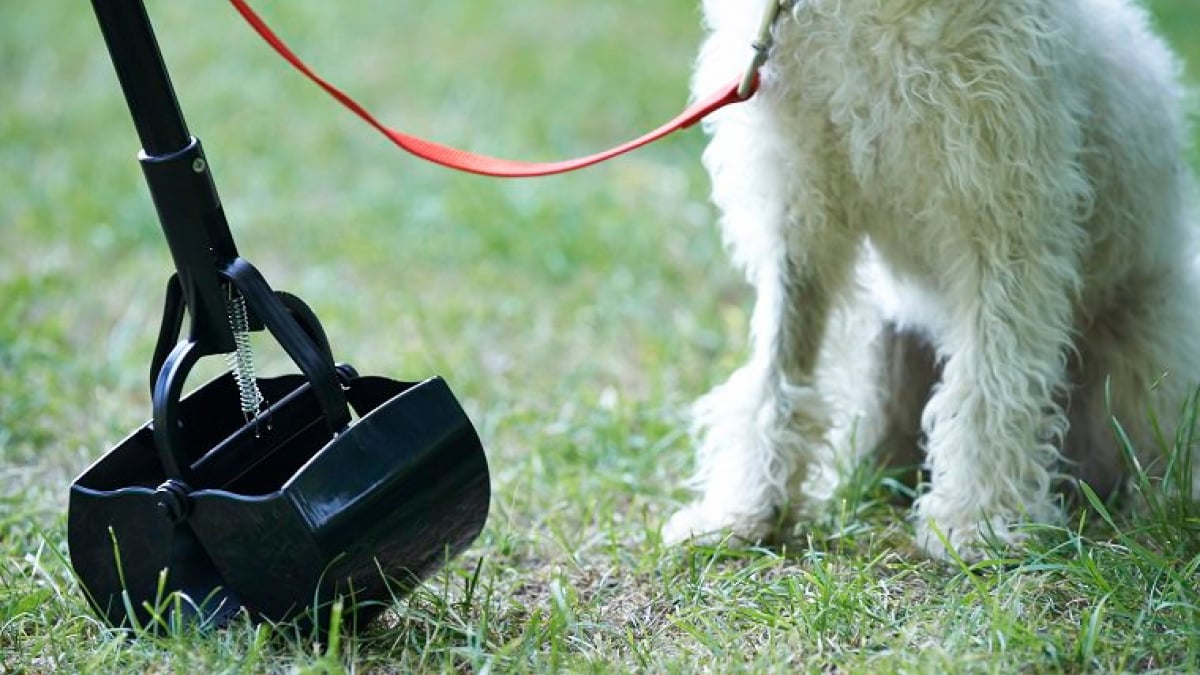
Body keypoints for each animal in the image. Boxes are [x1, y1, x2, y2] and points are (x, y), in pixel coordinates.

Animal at [667, 0, 1200, 557]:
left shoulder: (1003, 216)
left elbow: (990, 382)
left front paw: (978, 522)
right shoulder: (799, 213)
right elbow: (779, 371)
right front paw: (747, 507)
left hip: (1148, 353)